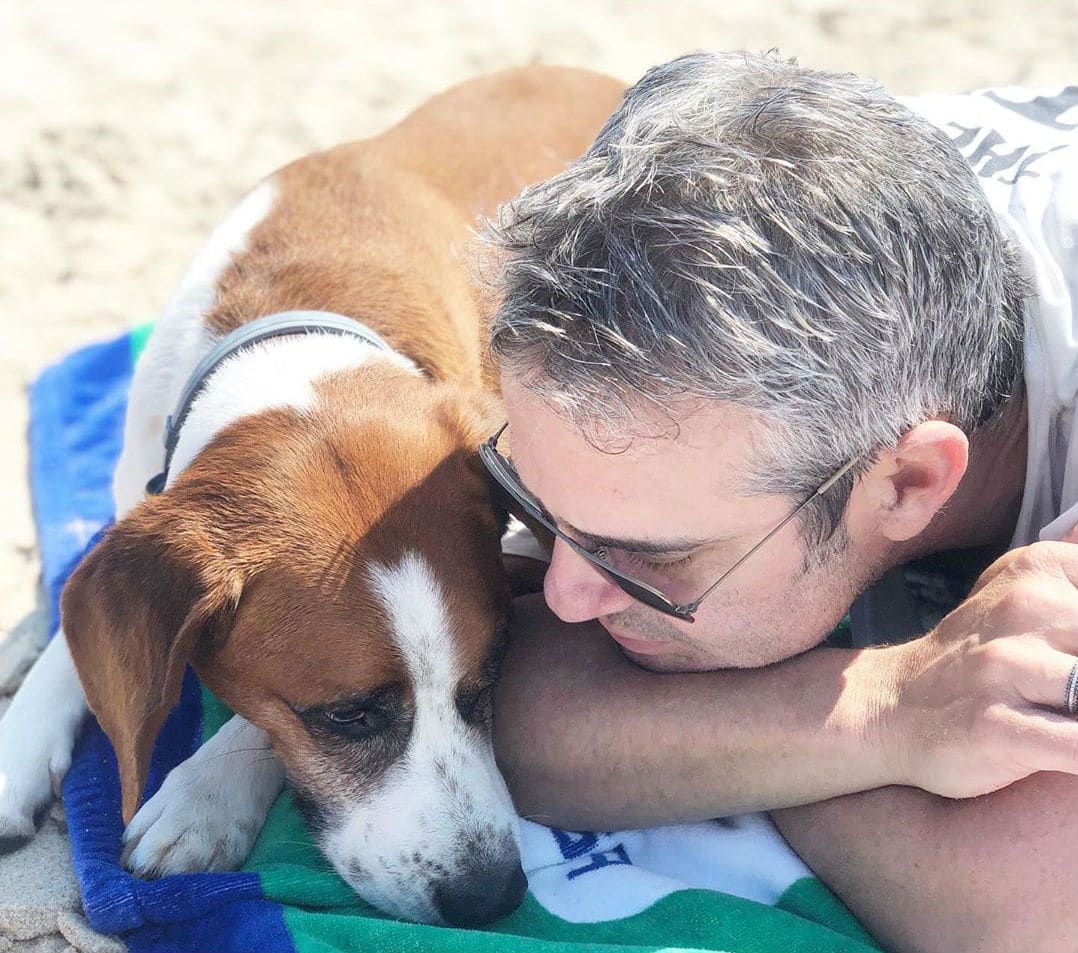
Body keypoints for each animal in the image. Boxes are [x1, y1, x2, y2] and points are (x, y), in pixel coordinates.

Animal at [0, 68, 625, 931]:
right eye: (346, 715)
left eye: (496, 665)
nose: (491, 896)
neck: (295, 339)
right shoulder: (137, 510)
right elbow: (82, 626)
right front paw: (20, 740)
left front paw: (205, 791)